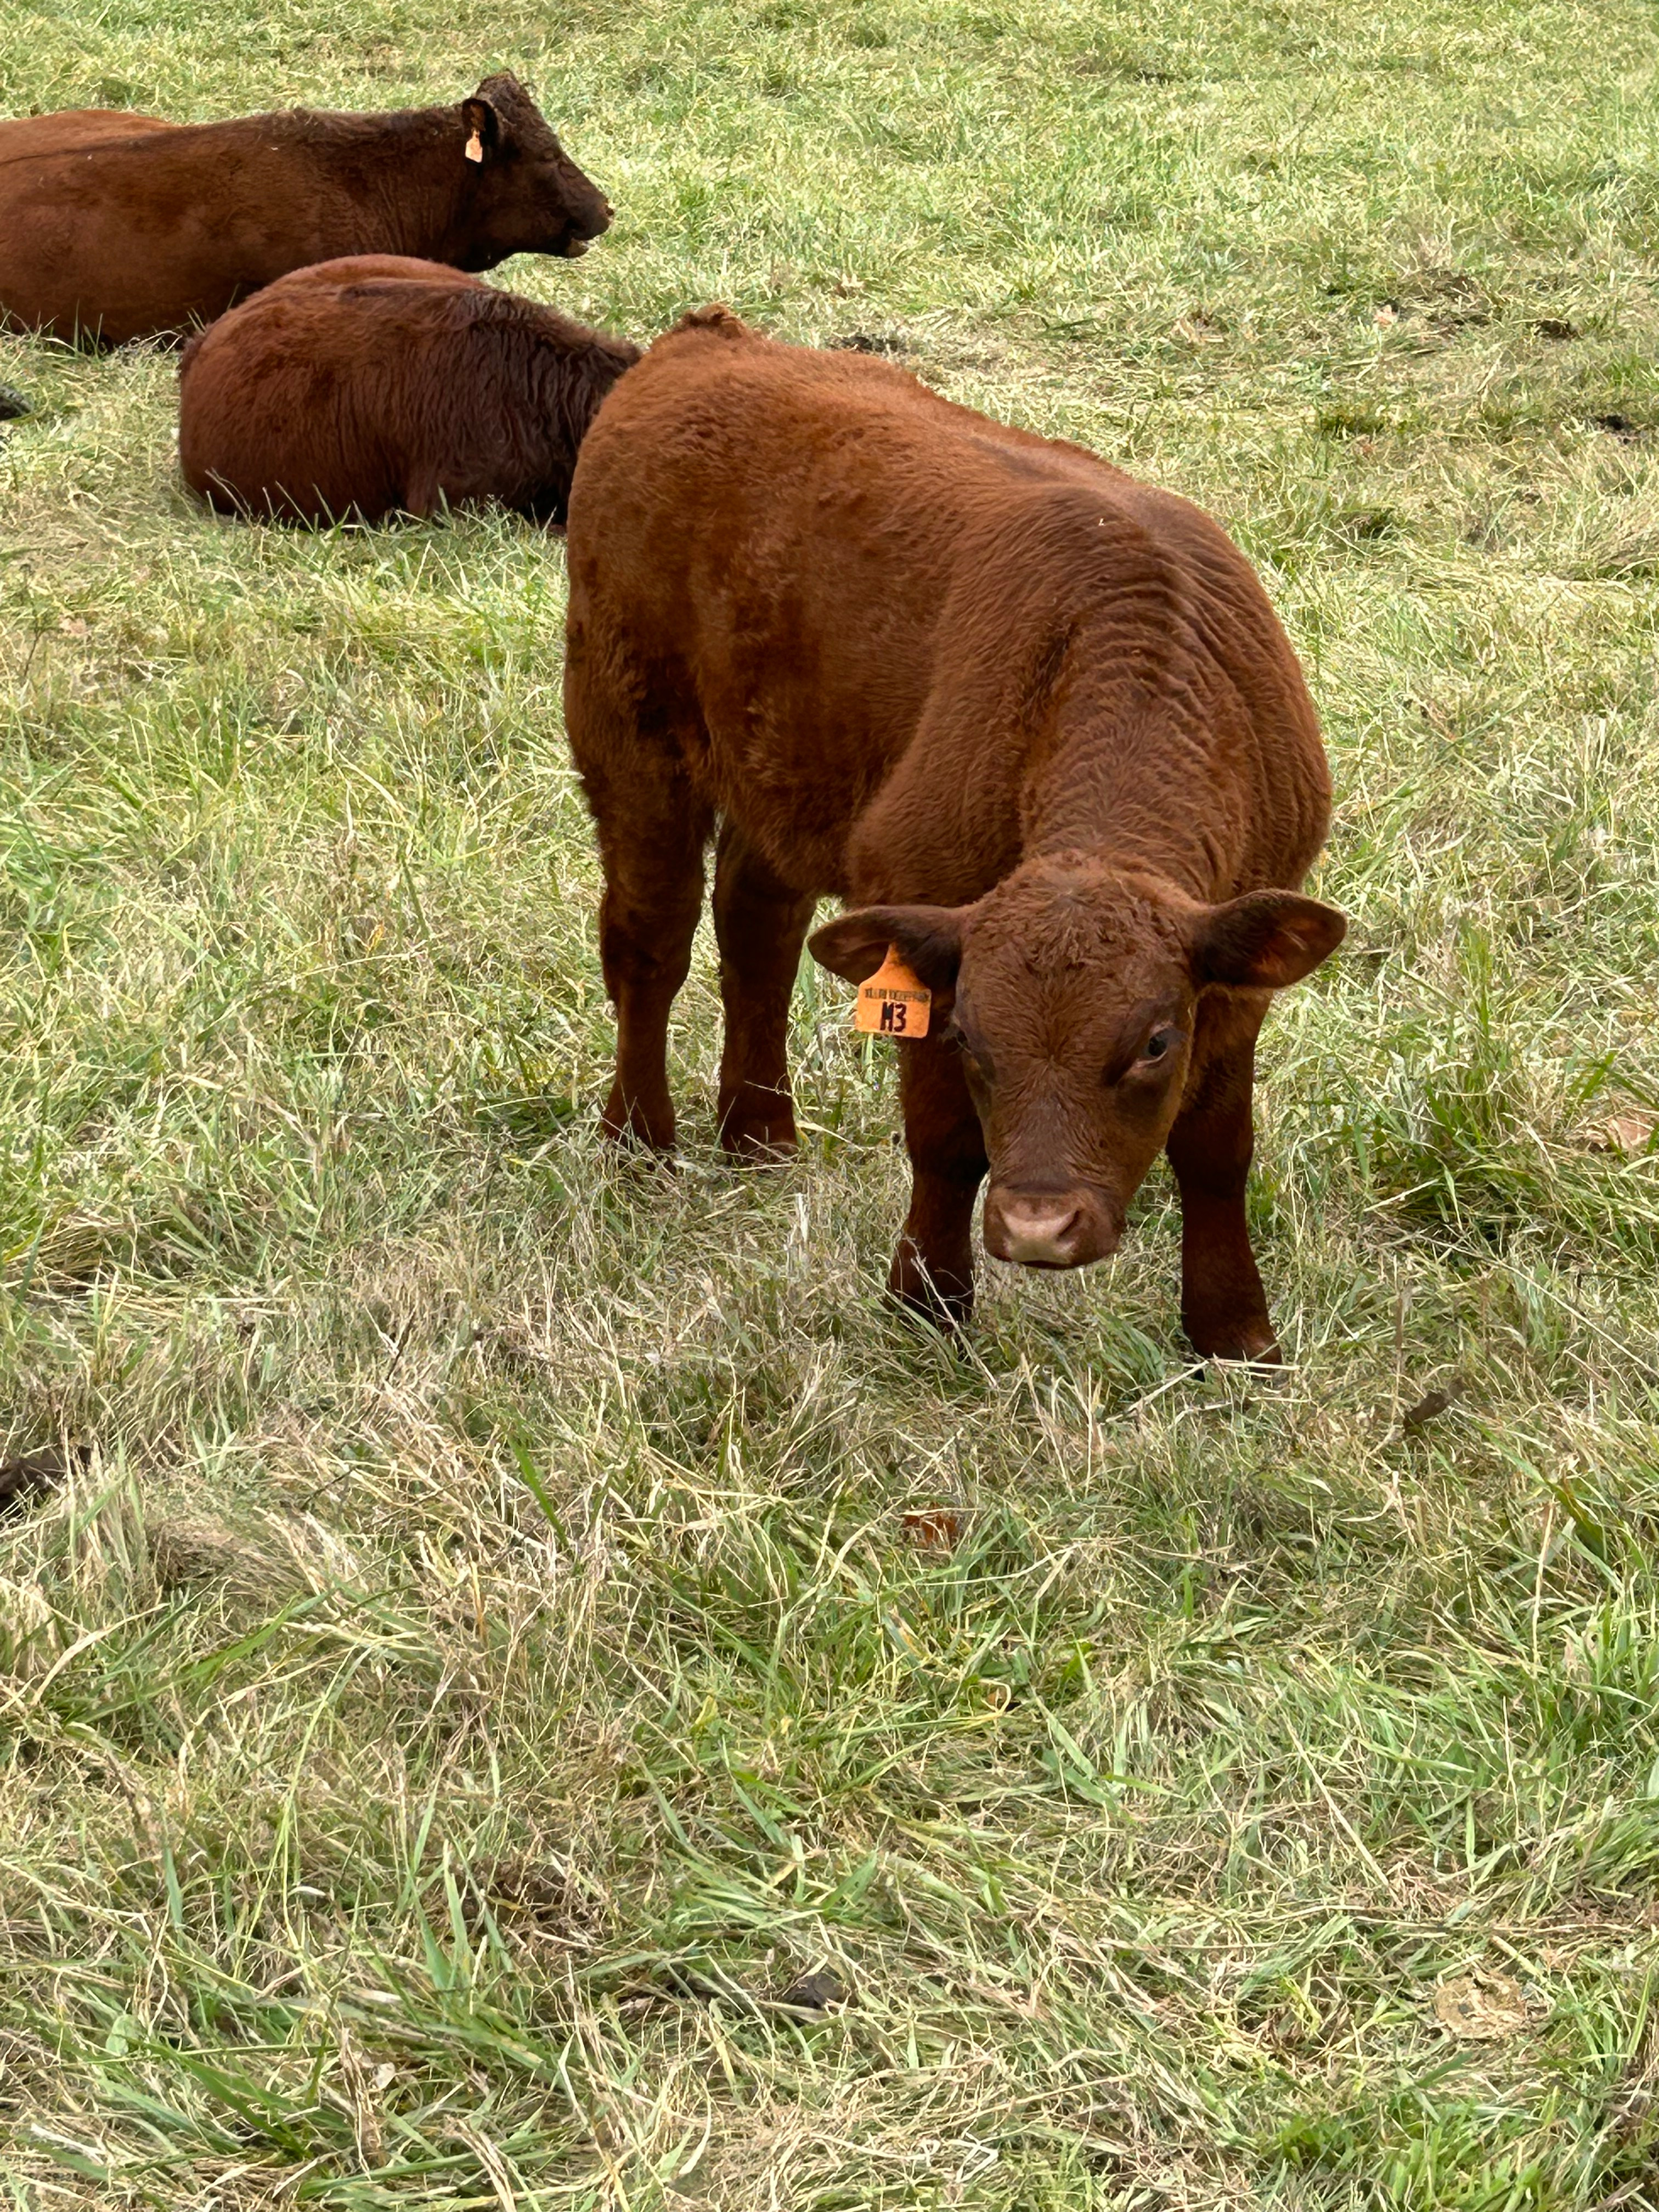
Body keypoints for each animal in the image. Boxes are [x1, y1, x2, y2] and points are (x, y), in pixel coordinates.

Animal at [563, 307, 1346, 1363]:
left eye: (1152, 1042)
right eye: (973, 1034)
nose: (1040, 1226)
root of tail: (704, 338)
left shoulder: (1235, 975)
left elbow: (1218, 1150)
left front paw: (1232, 1334)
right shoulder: (924, 922)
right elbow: (943, 1142)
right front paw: (926, 1300)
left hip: (785, 769)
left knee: (757, 932)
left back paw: (759, 1135)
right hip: (630, 738)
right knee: (651, 944)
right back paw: (640, 1141)